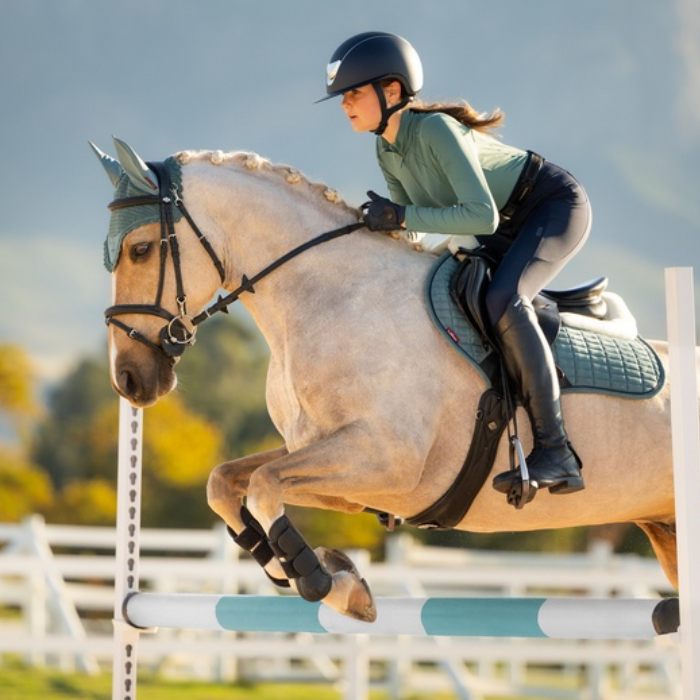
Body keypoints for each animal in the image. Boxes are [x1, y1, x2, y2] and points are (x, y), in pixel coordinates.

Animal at [92, 137, 692, 622]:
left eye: (139, 249)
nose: (129, 379)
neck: (329, 296)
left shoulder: (387, 461)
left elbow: (262, 486)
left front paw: (329, 582)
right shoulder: (336, 466)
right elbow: (227, 482)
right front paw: (304, 570)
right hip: (667, 532)